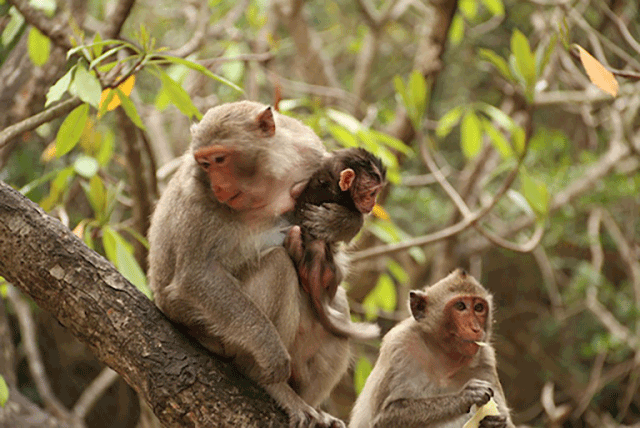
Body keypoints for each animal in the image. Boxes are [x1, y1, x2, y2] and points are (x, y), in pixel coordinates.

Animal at [288, 149, 388, 340]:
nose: (373, 204)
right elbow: (356, 222)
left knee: (295, 232)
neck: (332, 179)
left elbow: (295, 191)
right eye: (372, 193)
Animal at [350, 270, 516, 428]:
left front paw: (495, 423)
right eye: (460, 306)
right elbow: (382, 418)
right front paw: (464, 397)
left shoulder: (485, 360)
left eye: (479, 308)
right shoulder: (400, 345)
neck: (443, 356)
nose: (475, 328)